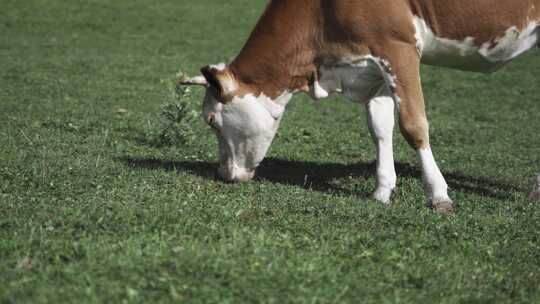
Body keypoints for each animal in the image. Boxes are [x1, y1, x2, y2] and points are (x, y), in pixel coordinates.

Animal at [182, 0, 540, 214]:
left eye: (212, 121)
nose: (223, 174)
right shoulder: (371, 62)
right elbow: (379, 126)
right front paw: (382, 190)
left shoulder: (399, 48)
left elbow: (413, 124)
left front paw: (439, 195)